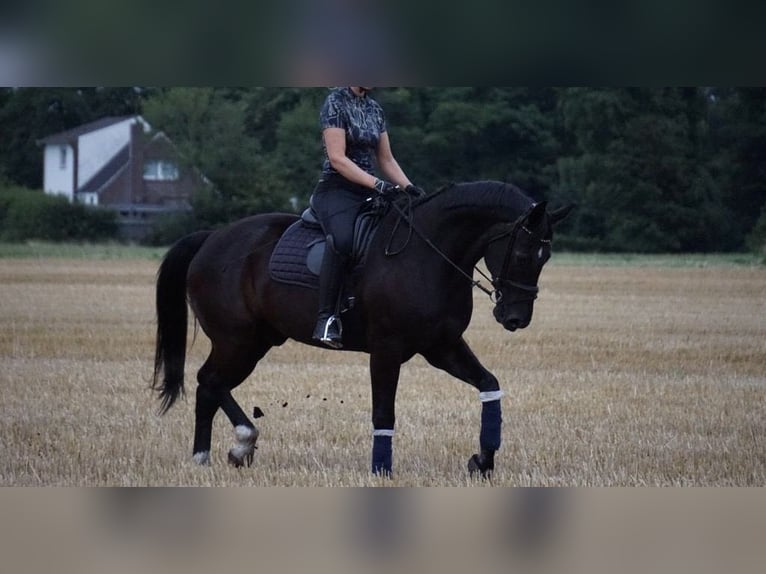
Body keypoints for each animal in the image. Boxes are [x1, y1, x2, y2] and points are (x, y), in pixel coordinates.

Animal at [153, 182, 572, 480]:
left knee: (210, 385)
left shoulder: (442, 347)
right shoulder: (387, 349)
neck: (428, 255)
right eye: (523, 255)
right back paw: (234, 444)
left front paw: (483, 460)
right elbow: (384, 412)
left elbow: (489, 385)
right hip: (237, 341)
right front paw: (381, 470)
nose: (515, 318)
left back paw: (210, 455)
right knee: (210, 381)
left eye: (546, 257)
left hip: (256, 340)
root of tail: (212, 238)